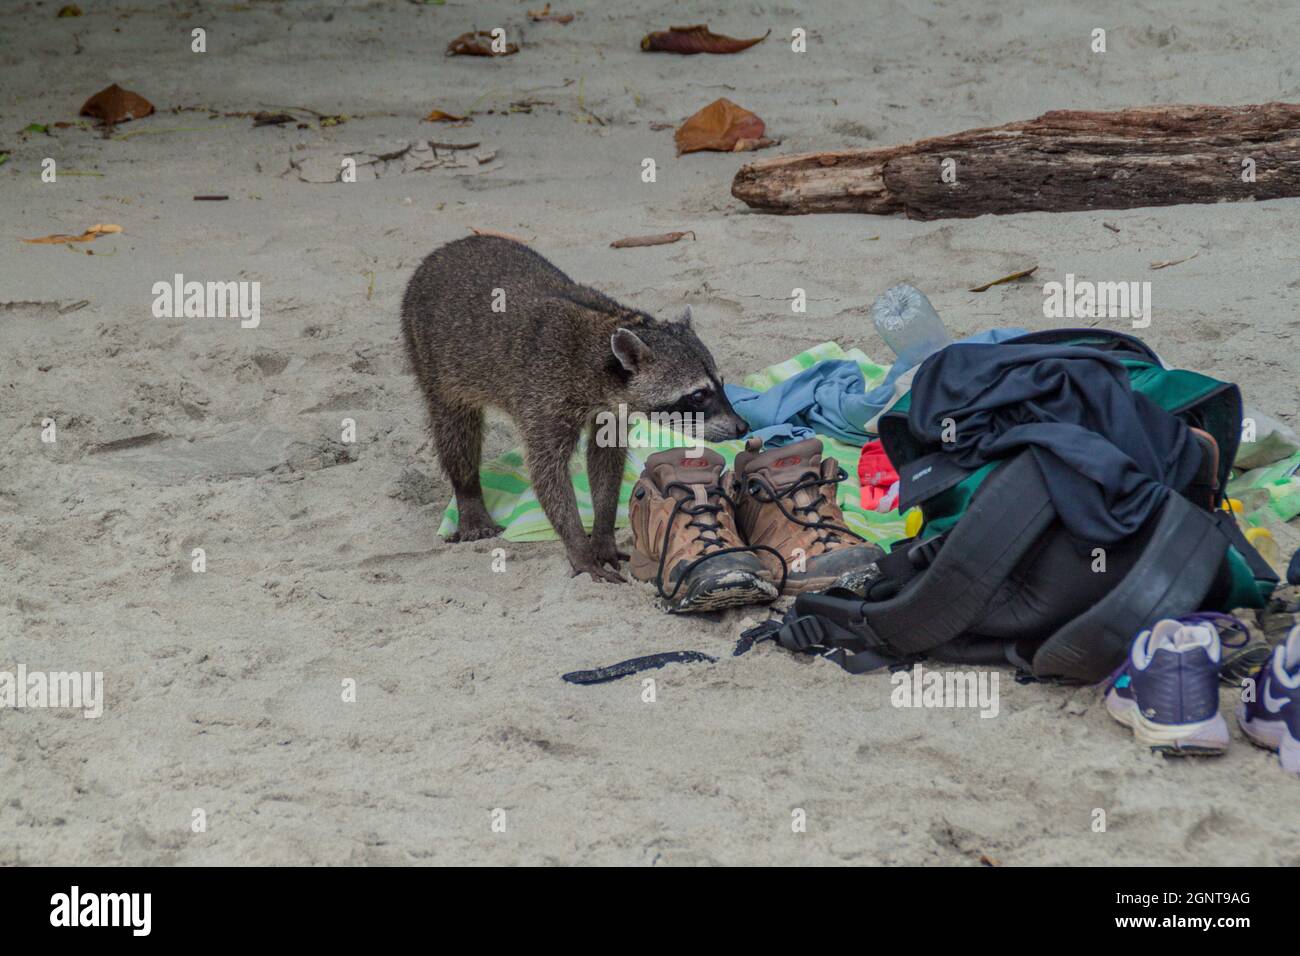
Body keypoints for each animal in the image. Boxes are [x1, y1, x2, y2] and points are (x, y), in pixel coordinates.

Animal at [400, 239, 748, 582]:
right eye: (698, 395)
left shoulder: (611, 409)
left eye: (721, 384)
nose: (742, 427)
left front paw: (603, 532)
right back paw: (468, 491)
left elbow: (605, 458)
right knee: (455, 429)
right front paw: (578, 546)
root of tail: (443, 251)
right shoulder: (544, 395)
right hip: (429, 354)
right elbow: (546, 471)